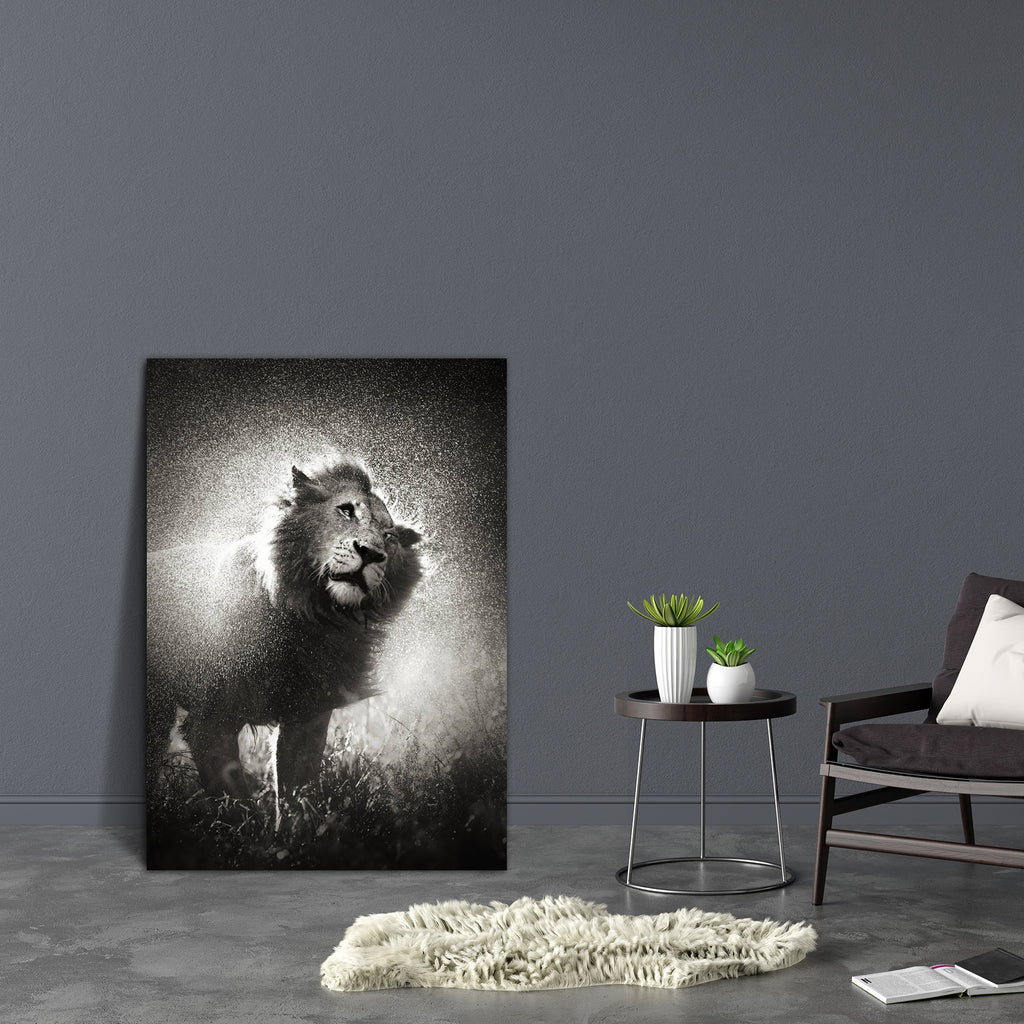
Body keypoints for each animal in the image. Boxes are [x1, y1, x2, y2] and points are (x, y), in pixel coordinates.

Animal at [146, 456, 422, 798]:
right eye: (346, 511)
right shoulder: (211, 721)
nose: (371, 553)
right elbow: (237, 800)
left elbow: (296, 794)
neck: (310, 620)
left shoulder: (308, 716)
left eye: (390, 536)